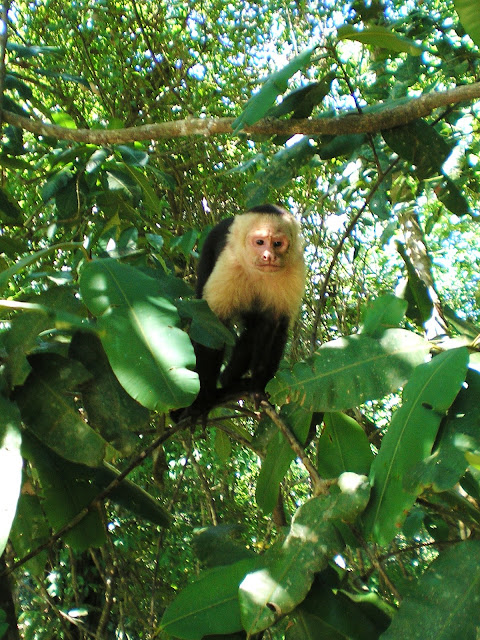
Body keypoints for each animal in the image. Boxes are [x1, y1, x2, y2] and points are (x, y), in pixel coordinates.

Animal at [178, 202, 306, 418]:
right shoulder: (229, 263)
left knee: (259, 330)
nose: (268, 256)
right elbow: (211, 325)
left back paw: (231, 381)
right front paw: (202, 401)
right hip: (208, 250)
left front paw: (258, 388)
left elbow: (272, 324)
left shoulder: (295, 270)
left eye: (277, 244)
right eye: (260, 242)